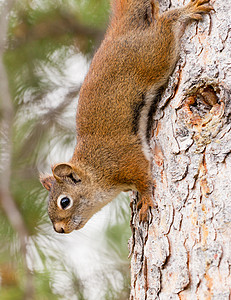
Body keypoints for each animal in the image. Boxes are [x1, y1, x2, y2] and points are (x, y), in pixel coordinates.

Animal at [40, 0, 213, 234]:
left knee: (165, 25)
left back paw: (184, 12)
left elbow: (144, 179)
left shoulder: (125, 161)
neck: (95, 169)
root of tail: (119, 30)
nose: (59, 229)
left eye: (64, 201)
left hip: (154, 53)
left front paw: (146, 200)